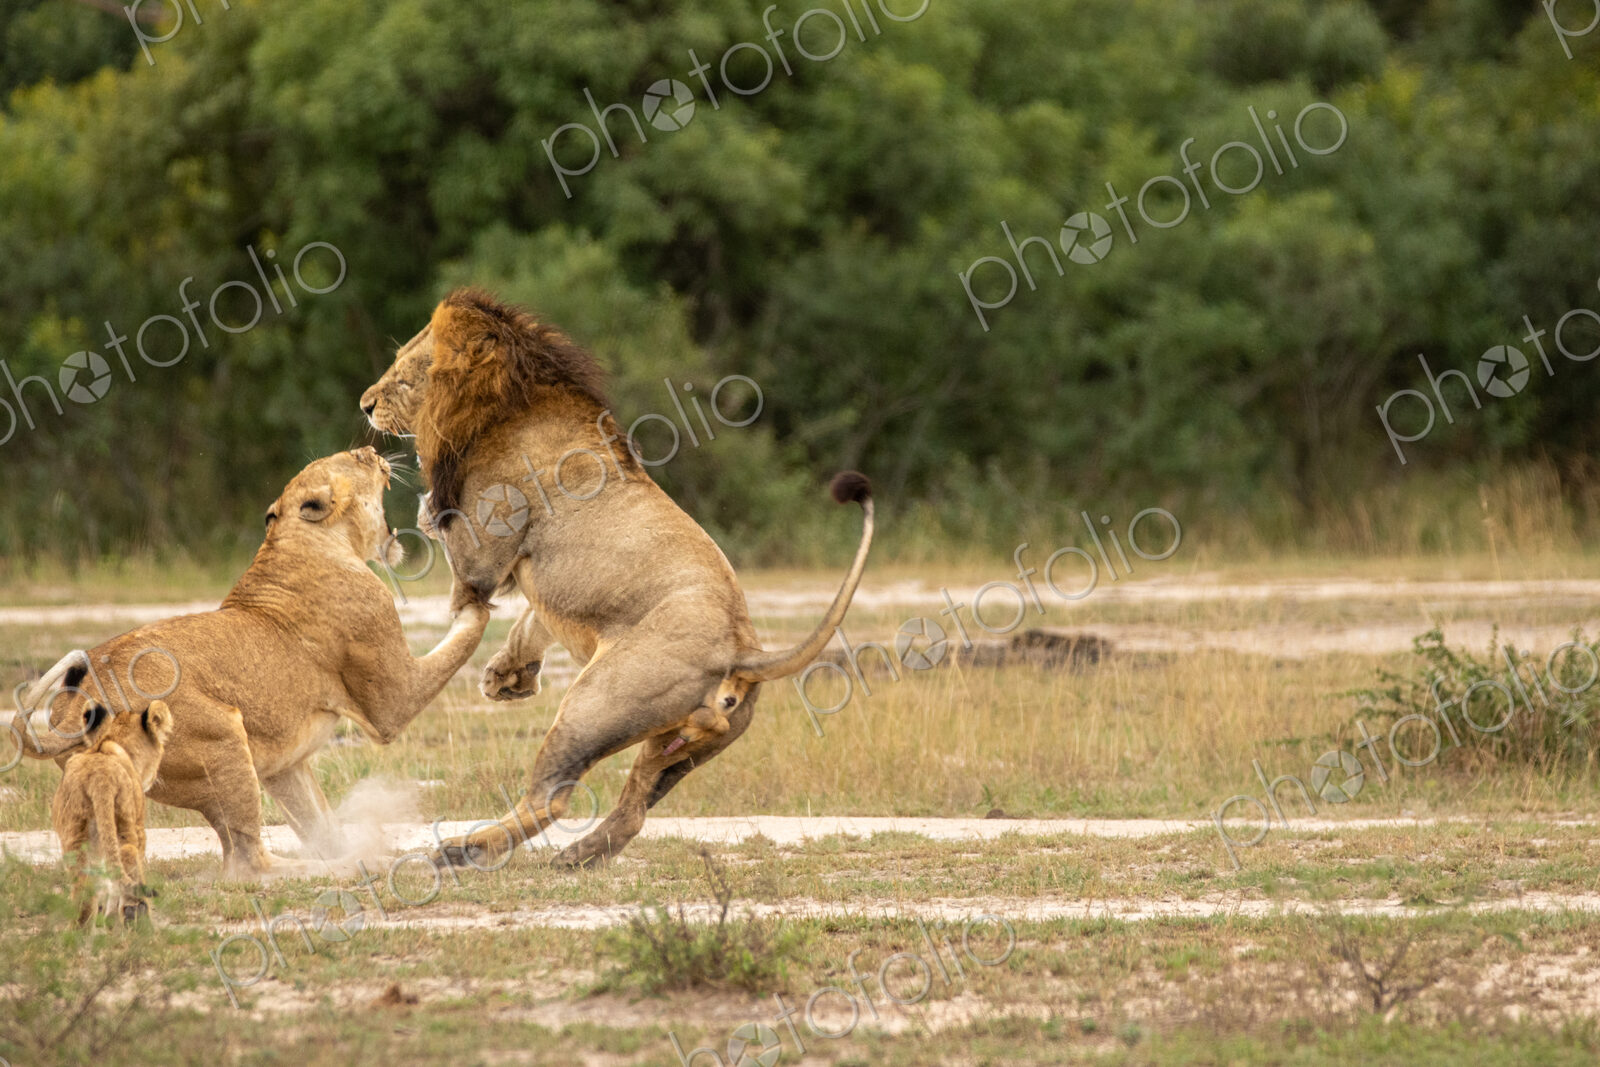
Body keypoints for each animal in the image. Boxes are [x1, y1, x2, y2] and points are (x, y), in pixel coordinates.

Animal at [8, 448, 490, 878]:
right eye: (357, 457)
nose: (376, 448)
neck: (302, 541)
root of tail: (69, 710)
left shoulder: (284, 766)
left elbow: (322, 826)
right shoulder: (391, 703)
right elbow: (463, 640)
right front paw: (477, 597)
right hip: (223, 738)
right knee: (249, 862)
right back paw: (358, 867)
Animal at [52, 699, 174, 923]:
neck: (111, 741)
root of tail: (100, 777)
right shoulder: (139, 825)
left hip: (75, 836)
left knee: (84, 894)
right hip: (124, 822)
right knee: (127, 854)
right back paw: (135, 912)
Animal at [359, 289, 872, 870]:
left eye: (405, 377)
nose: (365, 404)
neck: (511, 404)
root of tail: (744, 647)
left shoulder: (486, 553)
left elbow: (467, 574)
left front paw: (424, 510)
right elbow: (533, 621)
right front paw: (507, 675)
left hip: (593, 704)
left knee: (551, 798)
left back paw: (462, 849)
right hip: (676, 746)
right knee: (633, 810)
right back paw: (576, 855)